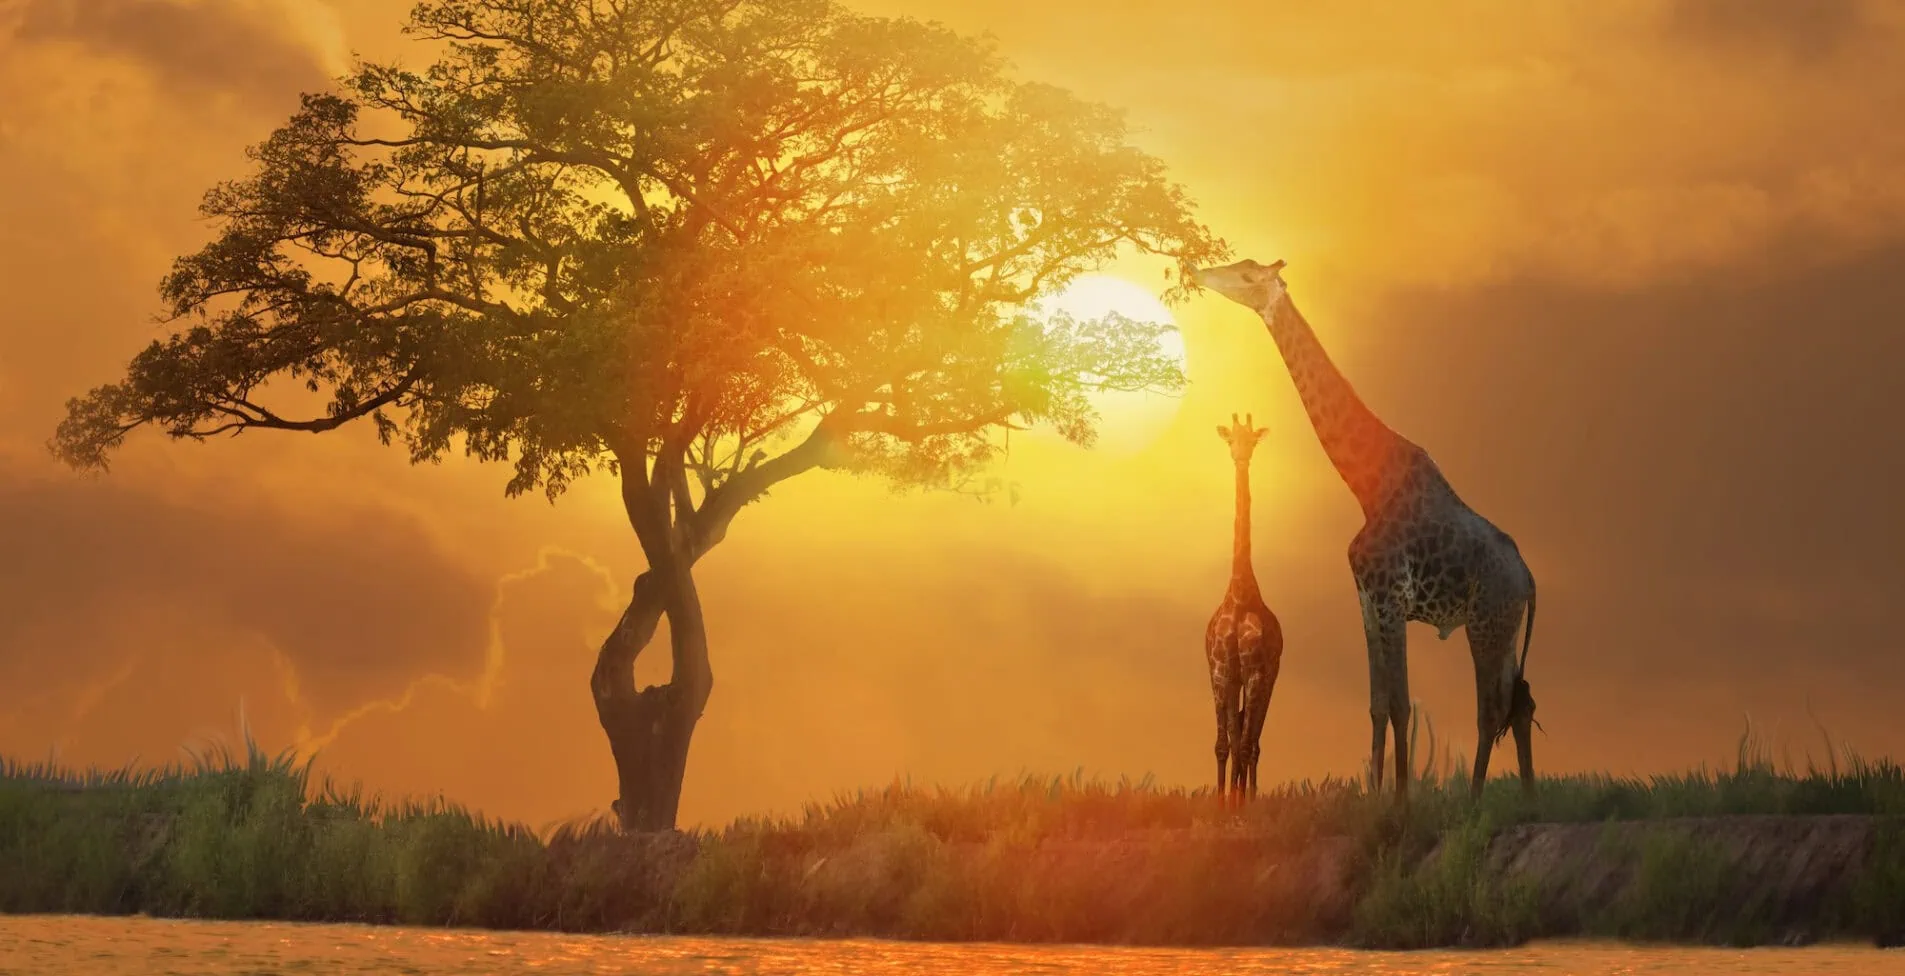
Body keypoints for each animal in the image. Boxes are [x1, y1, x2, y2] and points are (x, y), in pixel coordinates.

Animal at [1192, 258, 1538, 804]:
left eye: (1248, 274)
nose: (1199, 272)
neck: (1366, 485)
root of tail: (1529, 580)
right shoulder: (1367, 598)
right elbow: (1378, 703)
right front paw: (1375, 795)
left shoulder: (1390, 594)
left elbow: (1400, 702)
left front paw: (1399, 801)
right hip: (1503, 630)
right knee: (1519, 704)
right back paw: (1526, 796)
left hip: (1487, 622)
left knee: (1491, 710)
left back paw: (1475, 800)